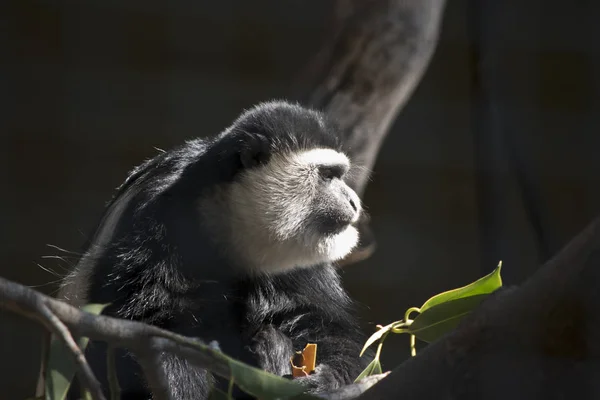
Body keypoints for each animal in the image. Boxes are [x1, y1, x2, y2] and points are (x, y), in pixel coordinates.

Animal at [59, 100, 370, 396]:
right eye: (327, 175)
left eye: (340, 175)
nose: (354, 202)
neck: (225, 216)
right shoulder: (157, 209)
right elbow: (144, 320)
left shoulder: (298, 253)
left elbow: (325, 322)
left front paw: (326, 377)